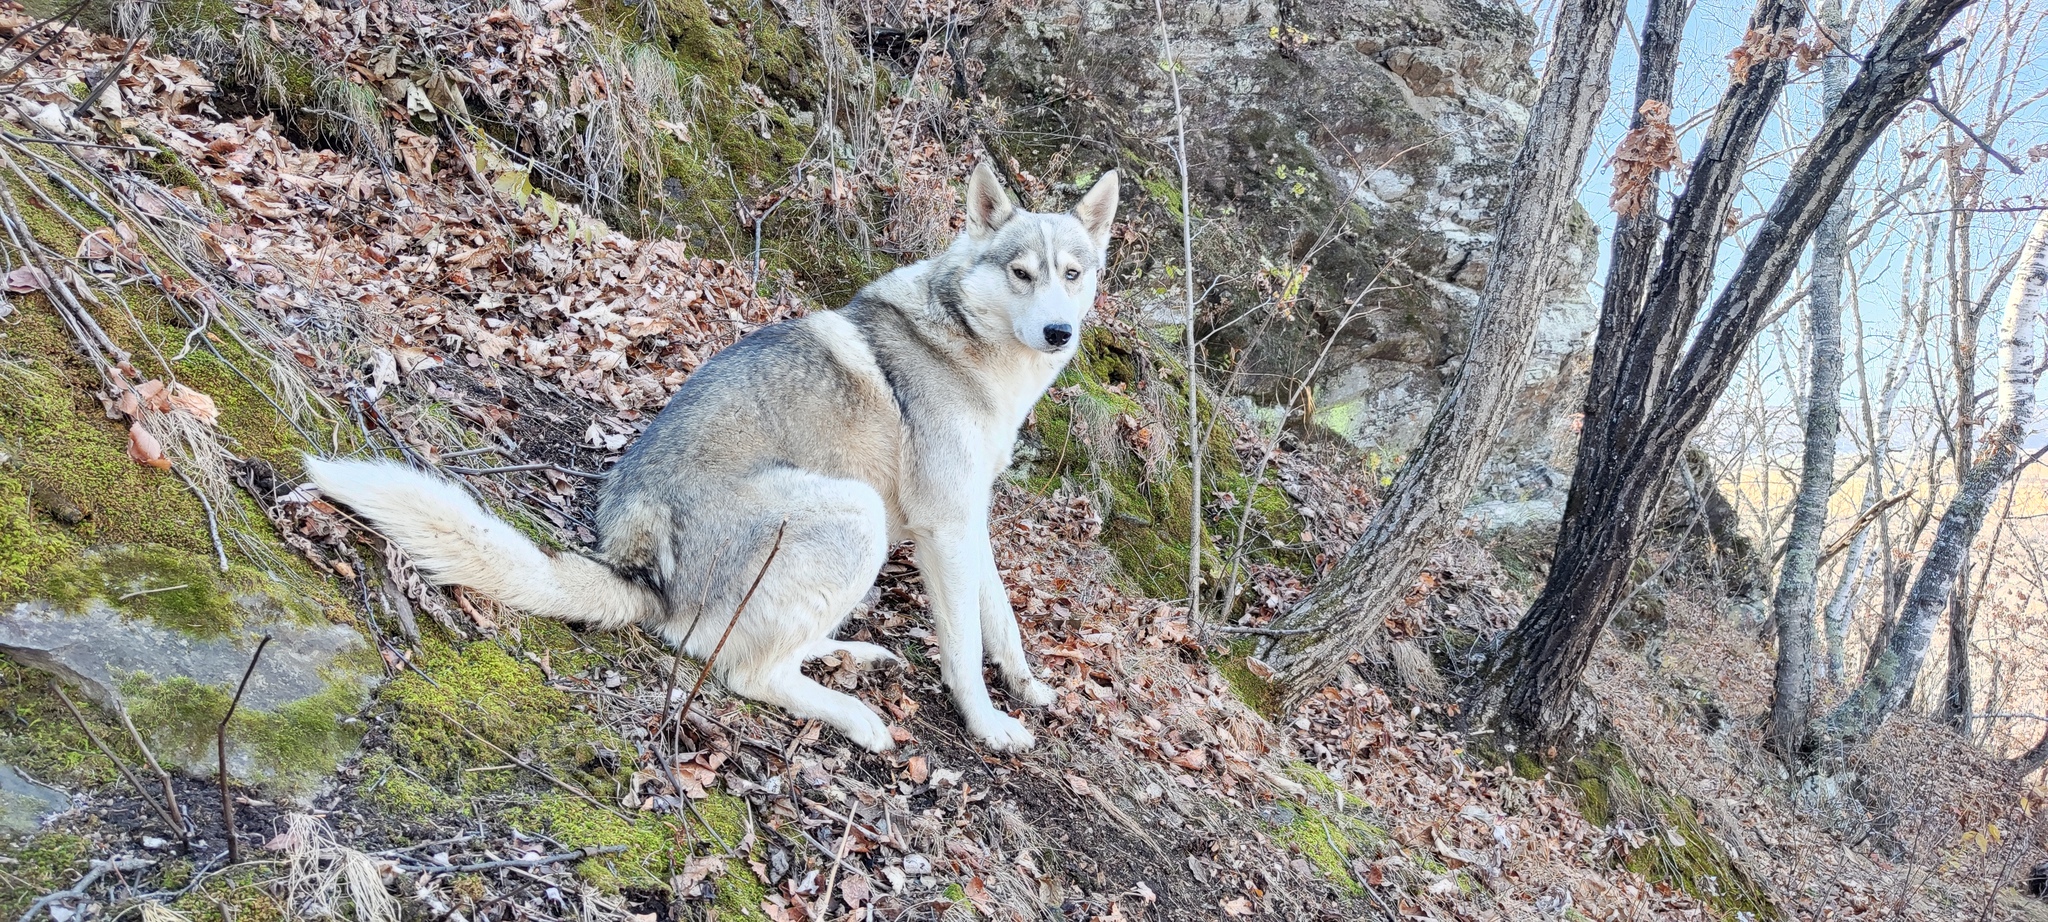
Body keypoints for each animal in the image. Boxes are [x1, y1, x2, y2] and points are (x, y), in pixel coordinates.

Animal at [307, 161, 1122, 749]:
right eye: (1021, 272)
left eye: (1072, 274)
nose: (1059, 333)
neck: (974, 352)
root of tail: (636, 566)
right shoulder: (943, 527)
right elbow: (961, 650)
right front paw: (988, 725)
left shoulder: (967, 522)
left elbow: (1001, 622)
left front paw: (1027, 688)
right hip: (853, 515)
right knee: (738, 666)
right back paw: (854, 716)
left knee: (760, 640)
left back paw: (847, 654)